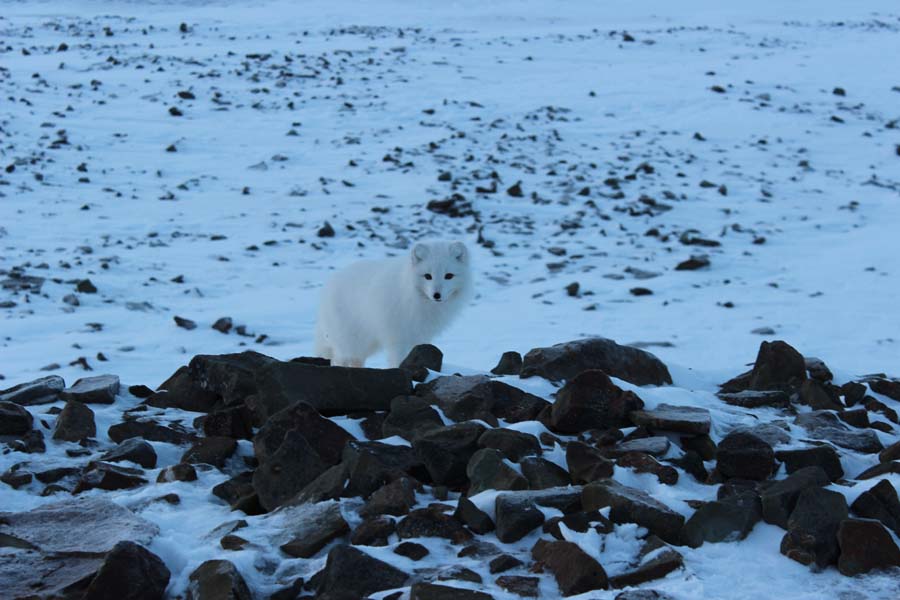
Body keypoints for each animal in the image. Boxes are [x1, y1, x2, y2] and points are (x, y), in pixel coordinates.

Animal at [314, 239, 472, 366]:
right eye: (428, 276)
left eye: (449, 276)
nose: (437, 295)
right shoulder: (397, 336)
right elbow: (398, 359)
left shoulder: (419, 336)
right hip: (350, 341)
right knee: (340, 359)